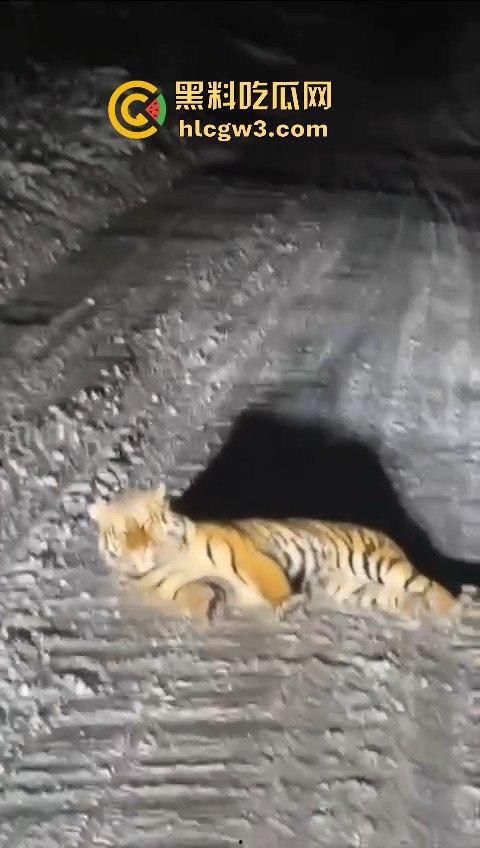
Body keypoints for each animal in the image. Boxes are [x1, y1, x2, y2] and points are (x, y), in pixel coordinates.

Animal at [88, 484, 461, 625]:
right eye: (123, 530)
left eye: (146, 523)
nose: (141, 549)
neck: (170, 560)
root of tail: (385, 534)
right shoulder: (161, 585)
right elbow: (188, 591)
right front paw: (207, 607)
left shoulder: (242, 551)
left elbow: (267, 578)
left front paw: (286, 604)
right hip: (355, 589)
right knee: (403, 595)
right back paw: (417, 610)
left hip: (379, 564)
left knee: (433, 585)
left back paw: (452, 612)